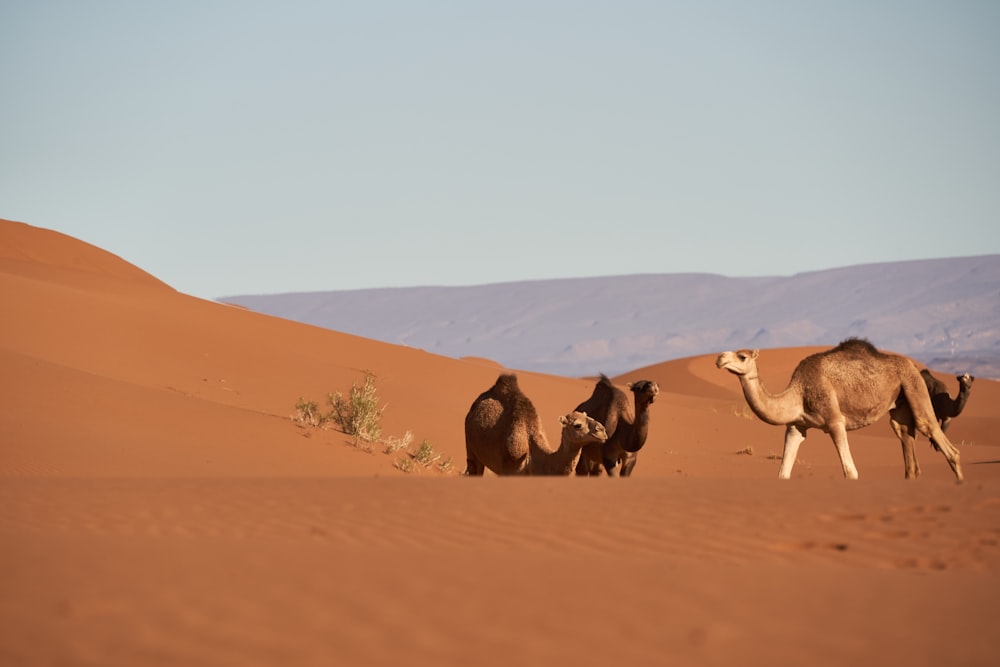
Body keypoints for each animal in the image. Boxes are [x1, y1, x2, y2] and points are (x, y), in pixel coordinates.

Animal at [716, 336, 964, 482]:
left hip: (914, 385)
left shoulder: (835, 421)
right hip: (900, 403)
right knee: (904, 434)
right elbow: (783, 472)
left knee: (936, 434)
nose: (719, 358)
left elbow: (850, 472)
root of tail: (913, 364)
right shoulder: (796, 426)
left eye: (742, 356)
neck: (798, 393)